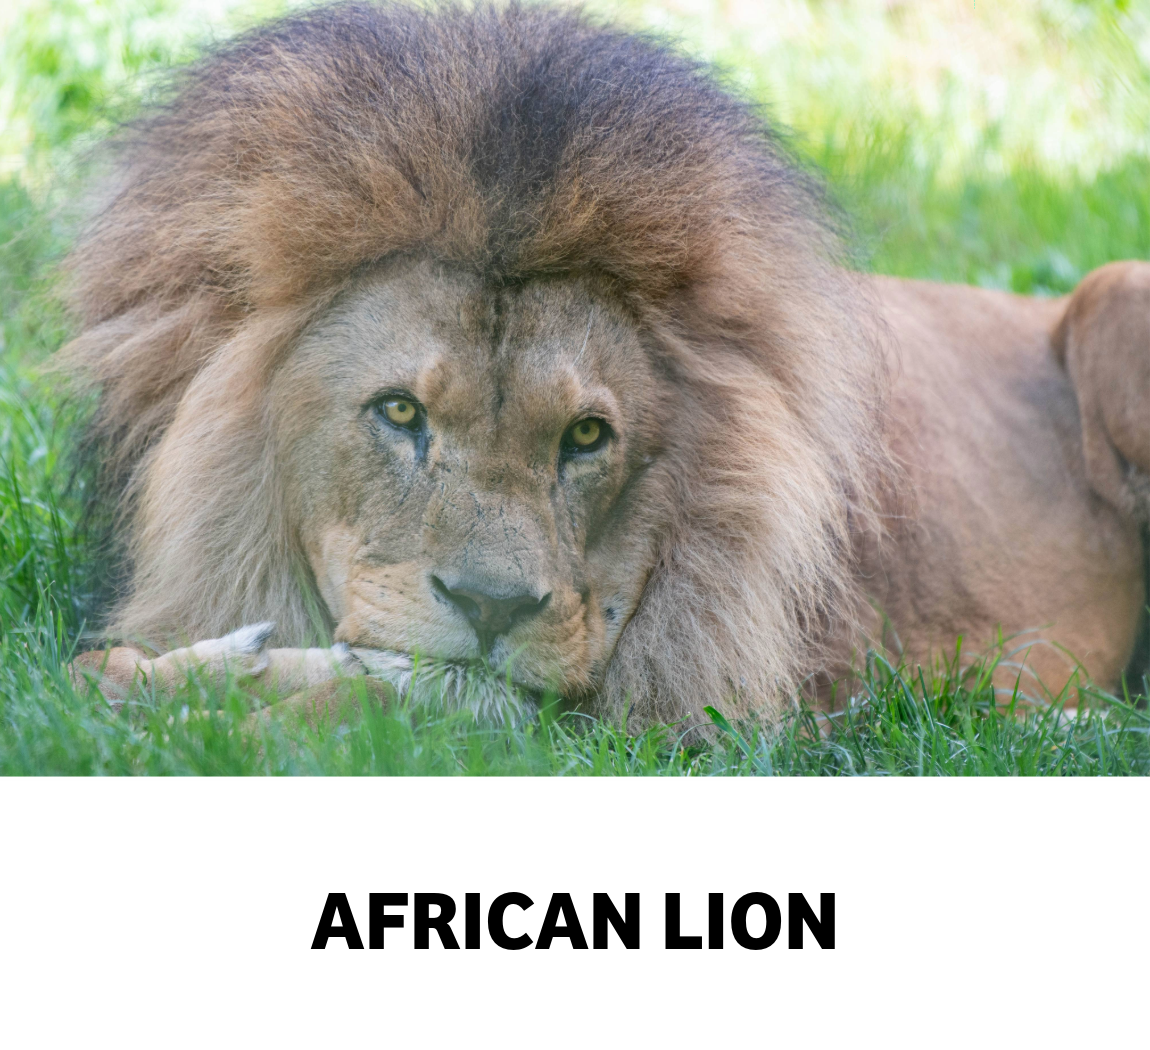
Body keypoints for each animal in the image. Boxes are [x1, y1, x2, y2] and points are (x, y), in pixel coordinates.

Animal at [65, 1, 1148, 730]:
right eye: (401, 414)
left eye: (587, 437)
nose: (493, 608)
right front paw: (179, 674)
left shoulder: (658, 715)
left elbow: (412, 695)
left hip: (1114, 293)